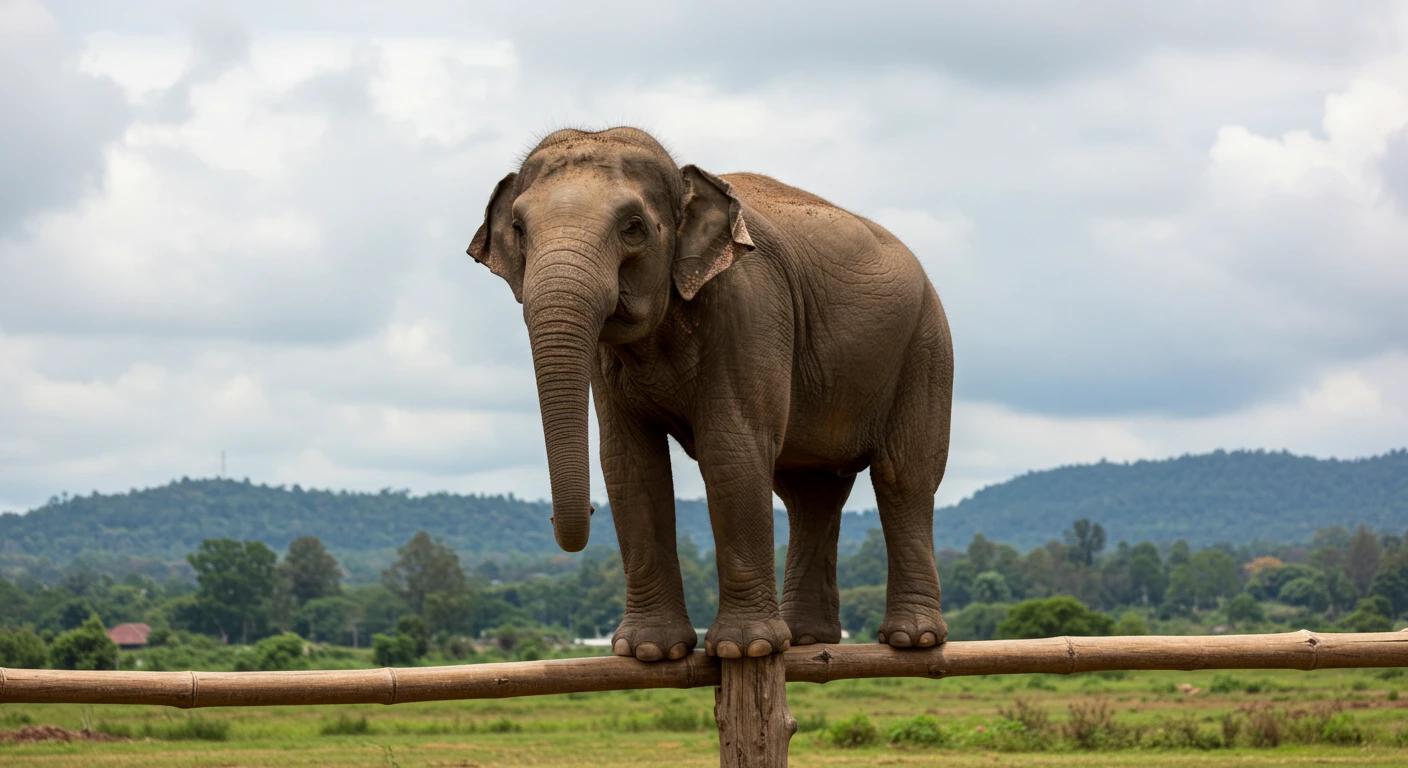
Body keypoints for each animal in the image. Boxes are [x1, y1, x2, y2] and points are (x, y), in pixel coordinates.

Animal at [466, 127, 953, 661]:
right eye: (519, 229)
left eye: (633, 227)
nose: (575, 515)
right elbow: (630, 463)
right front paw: (649, 651)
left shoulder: (751, 306)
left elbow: (730, 449)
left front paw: (746, 649)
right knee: (811, 493)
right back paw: (807, 638)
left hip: (926, 349)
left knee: (903, 477)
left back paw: (911, 640)